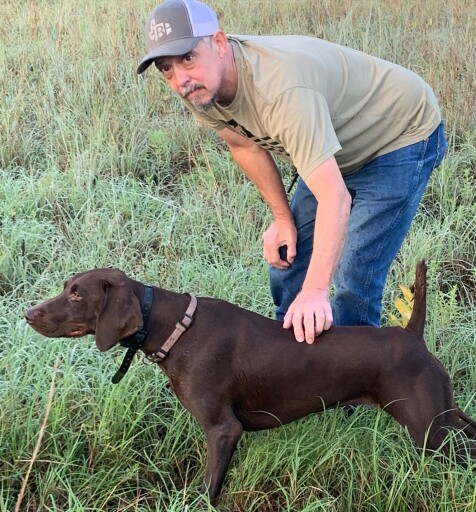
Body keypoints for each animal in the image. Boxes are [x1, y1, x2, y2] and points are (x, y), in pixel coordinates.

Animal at [26, 262, 476, 506]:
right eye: (67, 289)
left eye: (77, 295)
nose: (29, 314)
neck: (175, 328)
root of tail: (411, 334)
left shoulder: (223, 429)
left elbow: (207, 487)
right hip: (445, 415)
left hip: (430, 430)